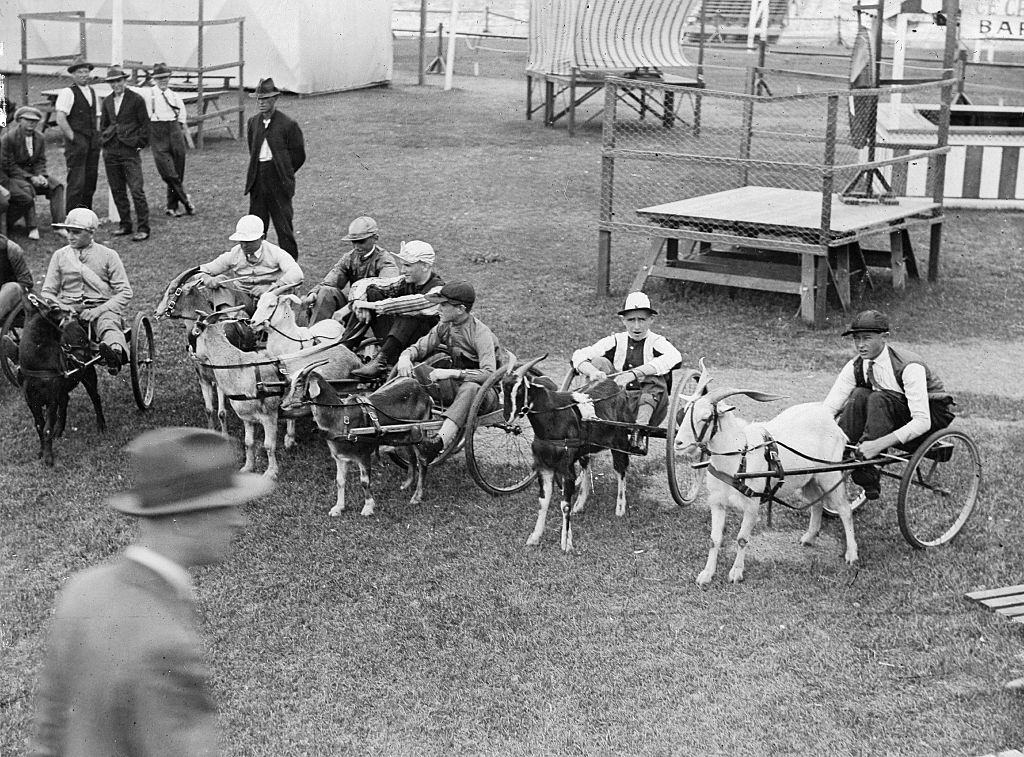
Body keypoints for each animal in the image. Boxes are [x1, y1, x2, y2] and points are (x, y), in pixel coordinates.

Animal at [190, 309, 294, 479]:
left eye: (195, 334)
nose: (191, 352)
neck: (240, 368)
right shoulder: (247, 417)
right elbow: (248, 442)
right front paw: (247, 467)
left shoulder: (270, 415)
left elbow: (269, 445)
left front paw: (271, 472)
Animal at [282, 360, 434, 514]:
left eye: (299, 384)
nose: (283, 404)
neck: (342, 417)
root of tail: (421, 389)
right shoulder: (340, 457)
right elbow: (339, 481)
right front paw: (338, 508)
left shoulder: (363, 454)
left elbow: (364, 481)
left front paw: (368, 507)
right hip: (406, 434)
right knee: (411, 456)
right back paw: (407, 483)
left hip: (420, 429)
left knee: (422, 461)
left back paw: (416, 496)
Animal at [499, 354, 634, 549]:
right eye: (501, 387)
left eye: (520, 389)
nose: (507, 417)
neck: (554, 419)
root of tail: (617, 385)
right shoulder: (544, 466)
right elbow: (543, 501)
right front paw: (534, 537)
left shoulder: (566, 468)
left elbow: (564, 504)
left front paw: (566, 542)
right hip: (586, 448)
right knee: (587, 465)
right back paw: (580, 503)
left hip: (620, 440)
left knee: (620, 470)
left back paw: (620, 508)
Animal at [675, 364, 860, 590]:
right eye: (683, 413)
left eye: (706, 417)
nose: (678, 443)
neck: (739, 457)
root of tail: (831, 421)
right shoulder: (717, 503)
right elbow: (714, 539)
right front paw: (706, 574)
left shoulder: (752, 505)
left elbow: (742, 539)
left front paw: (736, 573)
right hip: (808, 479)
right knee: (816, 503)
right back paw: (809, 537)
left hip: (830, 475)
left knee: (844, 509)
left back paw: (851, 554)